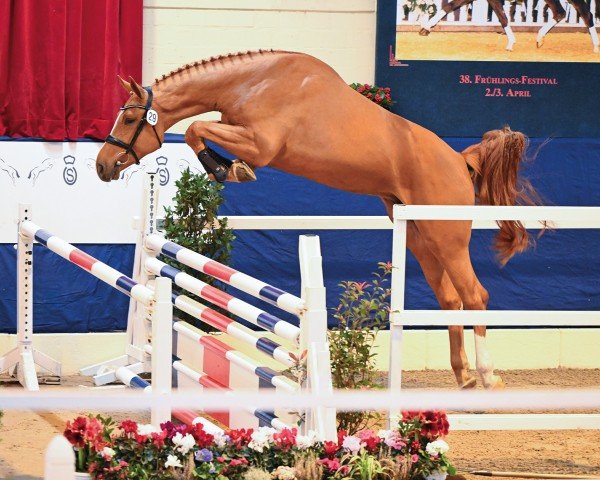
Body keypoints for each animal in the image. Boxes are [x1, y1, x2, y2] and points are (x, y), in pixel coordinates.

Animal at [95, 49, 540, 390]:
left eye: (130, 120)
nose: (102, 165)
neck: (254, 82)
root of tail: (460, 160)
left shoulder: (260, 143)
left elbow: (197, 128)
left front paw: (229, 169)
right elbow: (198, 129)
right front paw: (225, 167)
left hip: (447, 235)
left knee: (475, 296)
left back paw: (487, 375)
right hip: (420, 235)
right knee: (450, 299)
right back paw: (463, 376)